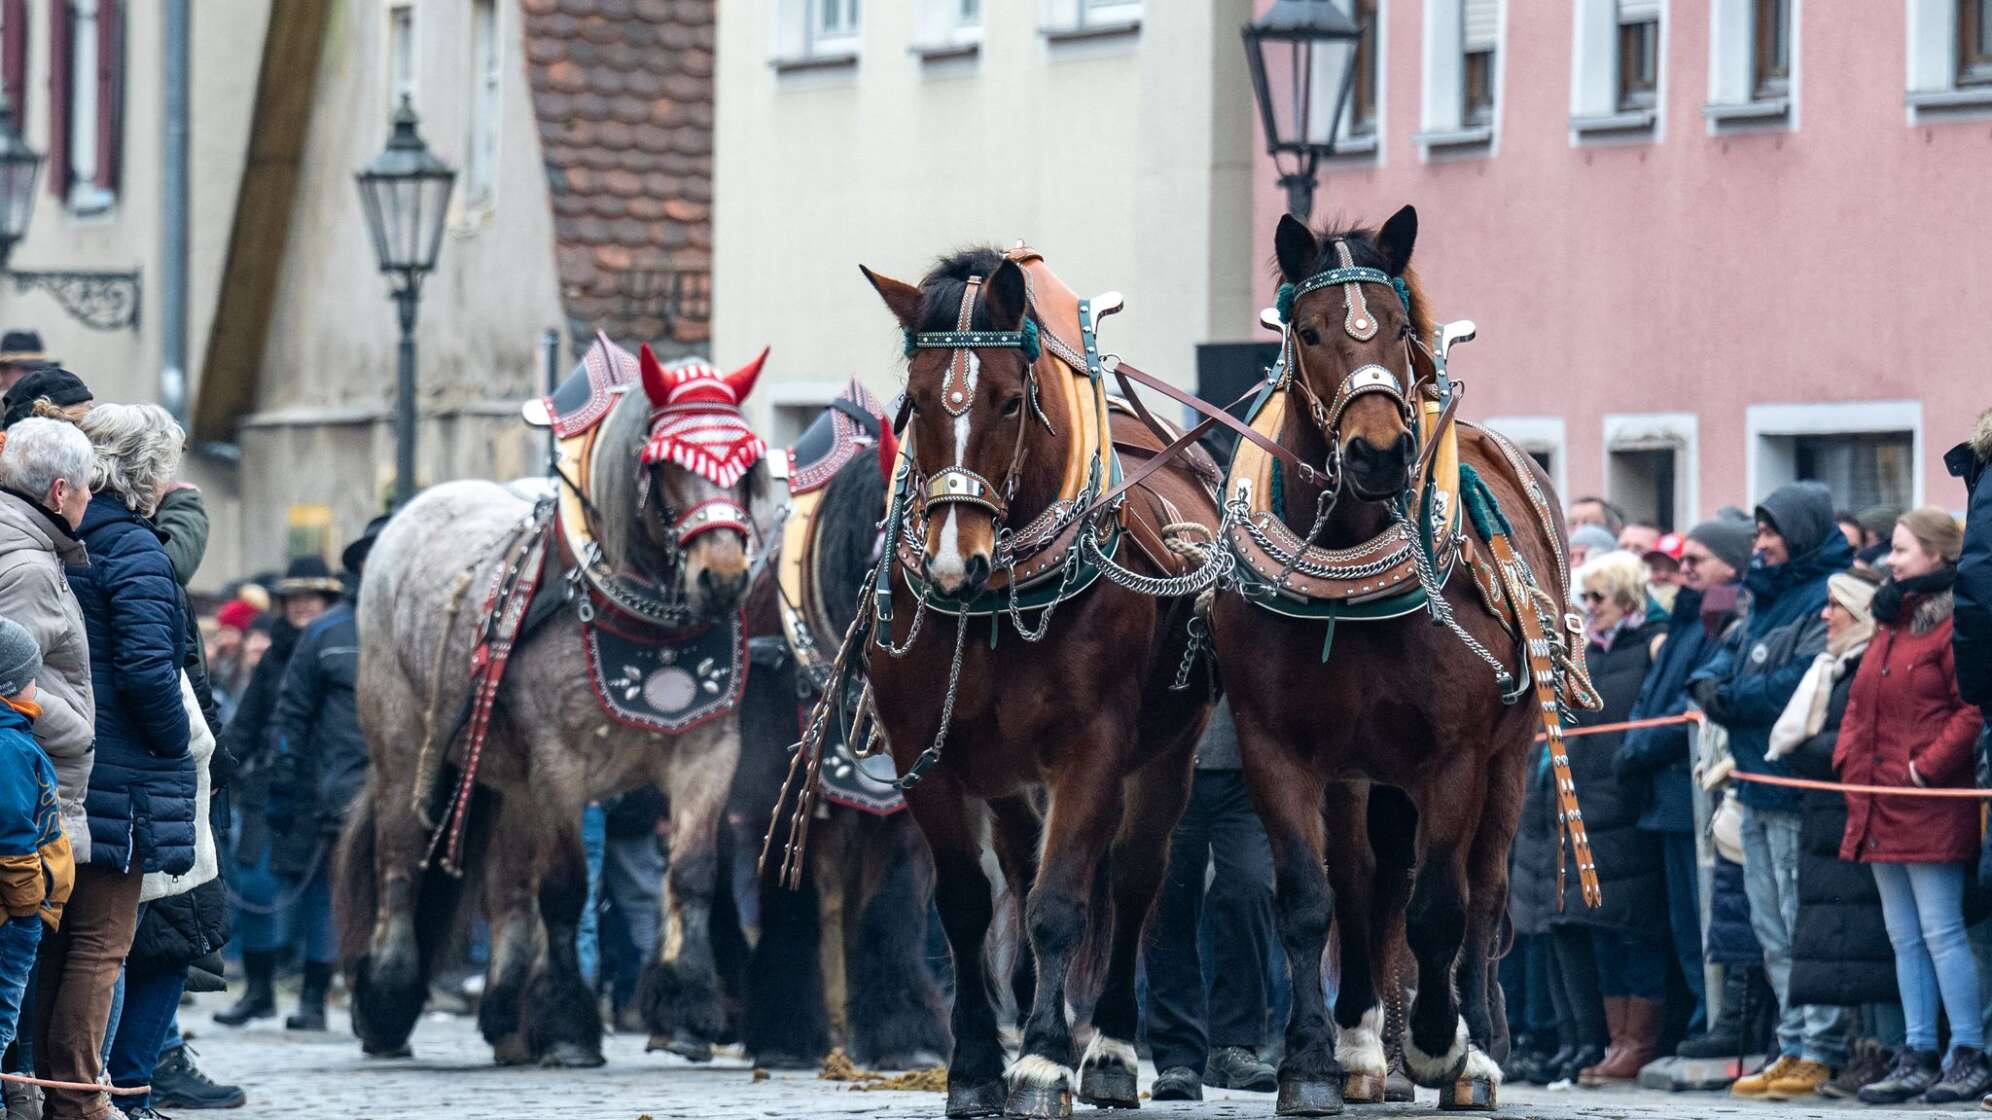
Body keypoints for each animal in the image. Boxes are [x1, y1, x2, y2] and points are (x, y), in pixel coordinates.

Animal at [334, 338, 768, 1060]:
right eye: (665, 466)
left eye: (748, 463)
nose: (725, 576)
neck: (640, 621)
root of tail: (407, 516)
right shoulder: (561, 767)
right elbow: (566, 890)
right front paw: (569, 1026)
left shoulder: (708, 751)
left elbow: (693, 873)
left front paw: (687, 1010)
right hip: (404, 746)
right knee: (399, 858)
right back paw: (390, 1000)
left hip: (508, 778)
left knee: (508, 889)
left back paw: (509, 1015)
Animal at [860, 246, 1227, 1116]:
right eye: (914, 402)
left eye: (1006, 400)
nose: (953, 564)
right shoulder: (924, 754)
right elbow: (967, 905)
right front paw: (974, 1066)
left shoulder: (1092, 748)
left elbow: (1061, 903)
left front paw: (1040, 1063)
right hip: (1001, 773)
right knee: (1021, 867)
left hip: (1169, 755)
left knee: (1132, 881)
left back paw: (1112, 1049)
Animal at [1203, 207, 1593, 1108]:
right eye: (1310, 331)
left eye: (1399, 328)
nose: (1380, 452)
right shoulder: (1280, 749)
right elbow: (1314, 898)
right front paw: (1316, 1060)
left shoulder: (1454, 755)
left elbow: (1442, 905)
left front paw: (1443, 1043)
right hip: (1363, 772)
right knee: (1367, 884)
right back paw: (1364, 1044)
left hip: (1511, 756)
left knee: (1482, 888)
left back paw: (1473, 1047)